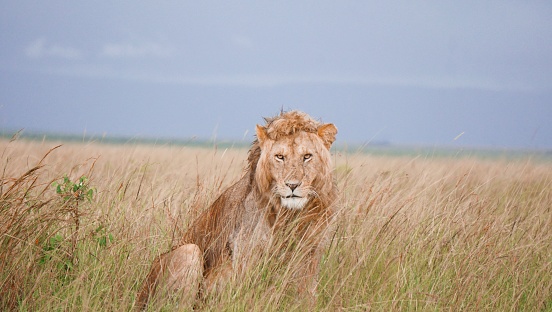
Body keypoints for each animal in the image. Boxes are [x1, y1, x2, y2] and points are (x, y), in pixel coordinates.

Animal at [136, 110, 338, 310]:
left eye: (307, 156)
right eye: (280, 157)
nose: (292, 185)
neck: (290, 214)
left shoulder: (310, 255)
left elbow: (307, 295)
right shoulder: (244, 255)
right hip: (188, 252)